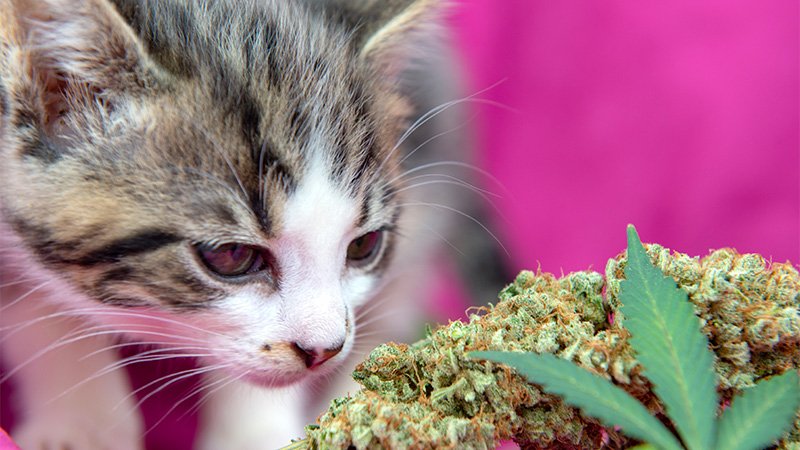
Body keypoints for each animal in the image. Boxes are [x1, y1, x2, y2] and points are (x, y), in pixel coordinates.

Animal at [0, 0, 482, 448]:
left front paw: (257, 431)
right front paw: (81, 427)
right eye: (231, 255)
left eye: (365, 245)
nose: (323, 350)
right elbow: (38, 308)